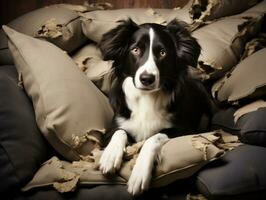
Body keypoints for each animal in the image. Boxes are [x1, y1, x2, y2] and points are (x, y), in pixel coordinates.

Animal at [98, 19, 214, 195]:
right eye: (135, 50)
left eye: (163, 53)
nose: (147, 79)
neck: (147, 98)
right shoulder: (113, 126)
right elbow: (119, 132)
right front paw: (110, 156)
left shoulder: (185, 130)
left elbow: (153, 138)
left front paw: (139, 174)